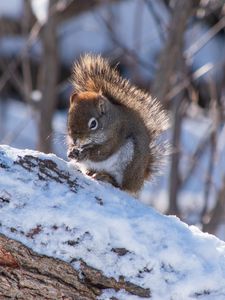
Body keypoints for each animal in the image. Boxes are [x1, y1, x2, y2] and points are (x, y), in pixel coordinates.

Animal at [67, 54, 169, 195]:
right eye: (69, 116)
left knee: (120, 186)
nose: (75, 139)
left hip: (128, 163)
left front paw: (86, 153)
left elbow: (103, 152)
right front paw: (71, 150)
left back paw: (106, 177)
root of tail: (139, 180)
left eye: (93, 124)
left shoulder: (117, 134)